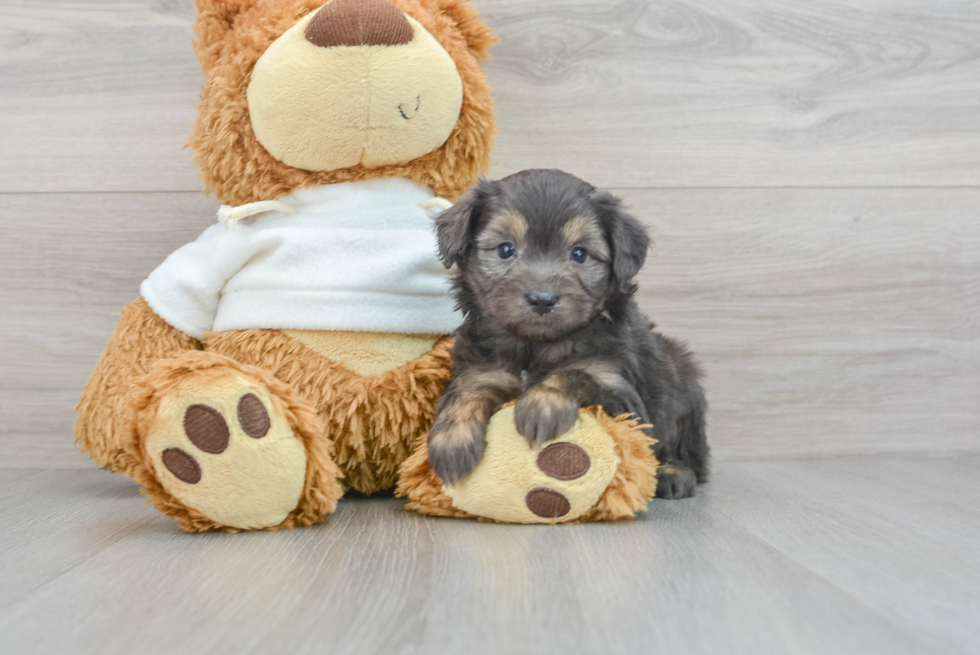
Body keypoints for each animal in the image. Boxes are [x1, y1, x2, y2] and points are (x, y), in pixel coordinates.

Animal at [424, 168, 708, 498]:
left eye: (580, 254)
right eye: (506, 249)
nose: (542, 299)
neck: (535, 345)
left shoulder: (620, 393)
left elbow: (574, 372)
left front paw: (542, 405)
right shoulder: (480, 371)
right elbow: (464, 395)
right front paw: (451, 442)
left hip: (686, 393)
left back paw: (672, 474)